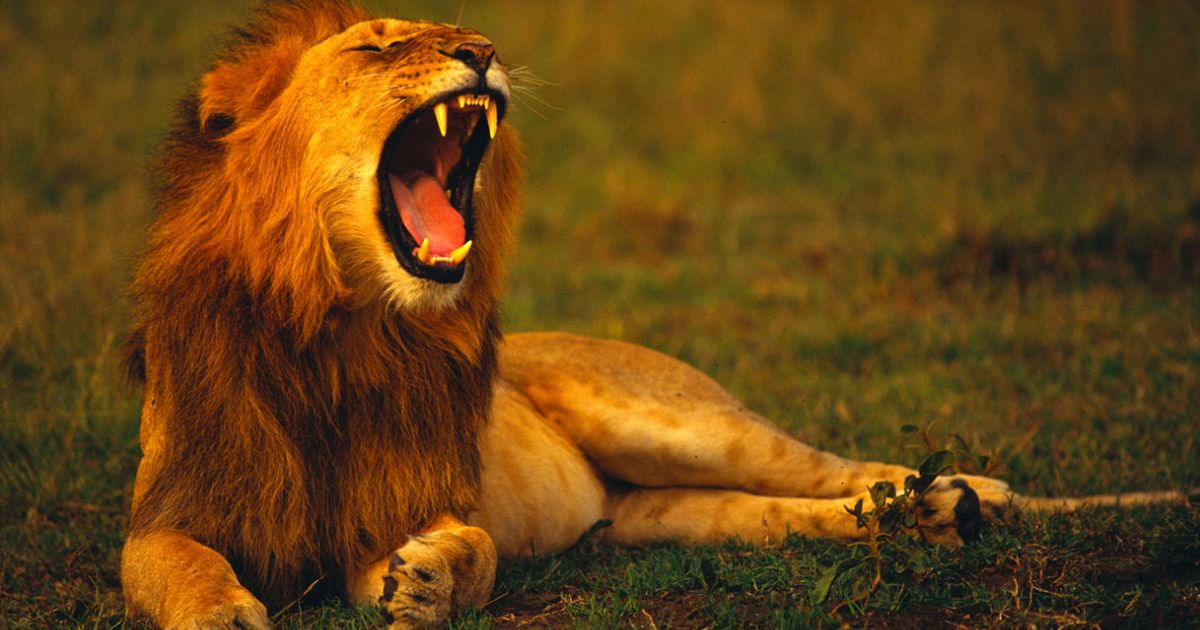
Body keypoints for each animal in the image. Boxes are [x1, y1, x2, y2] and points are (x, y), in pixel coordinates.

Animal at [121, 1, 1194, 628]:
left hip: (681, 423)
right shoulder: (172, 507)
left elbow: (470, 547)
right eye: (378, 46)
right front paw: (220, 613)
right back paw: (937, 517)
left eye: (456, 32)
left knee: (837, 467)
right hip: (673, 519)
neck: (342, 325)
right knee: (808, 514)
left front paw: (428, 583)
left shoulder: (407, 510)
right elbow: (173, 563)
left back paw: (979, 496)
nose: (484, 50)